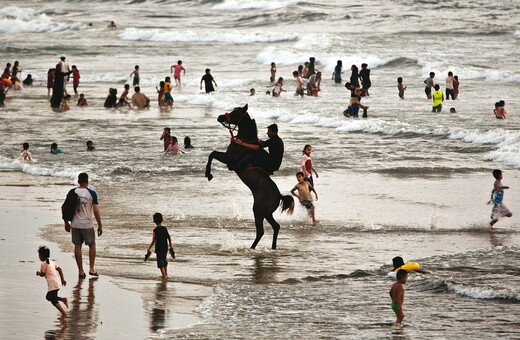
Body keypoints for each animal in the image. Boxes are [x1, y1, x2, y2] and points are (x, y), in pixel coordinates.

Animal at [205, 103, 294, 250]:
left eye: (236, 113)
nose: (220, 117)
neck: (246, 141)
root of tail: (280, 195)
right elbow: (212, 154)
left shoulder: (229, 159)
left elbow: (212, 154)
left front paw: (208, 174)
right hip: (267, 213)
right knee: (276, 227)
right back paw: (272, 247)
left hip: (258, 212)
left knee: (261, 231)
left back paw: (252, 248)